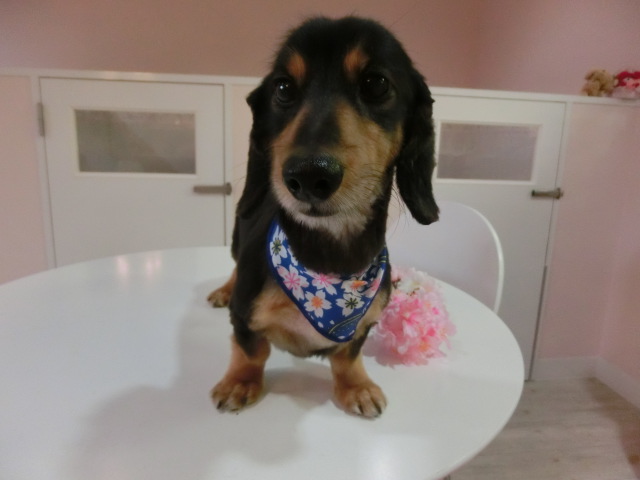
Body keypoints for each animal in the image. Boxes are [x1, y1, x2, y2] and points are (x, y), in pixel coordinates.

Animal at [208, 16, 438, 418]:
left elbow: (348, 355)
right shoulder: (244, 314)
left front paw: (356, 386)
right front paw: (240, 381)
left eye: (376, 83)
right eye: (283, 88)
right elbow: (251, 349)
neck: (328, 263)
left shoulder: (363, 324)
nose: (308, 177)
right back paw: (223, 290)